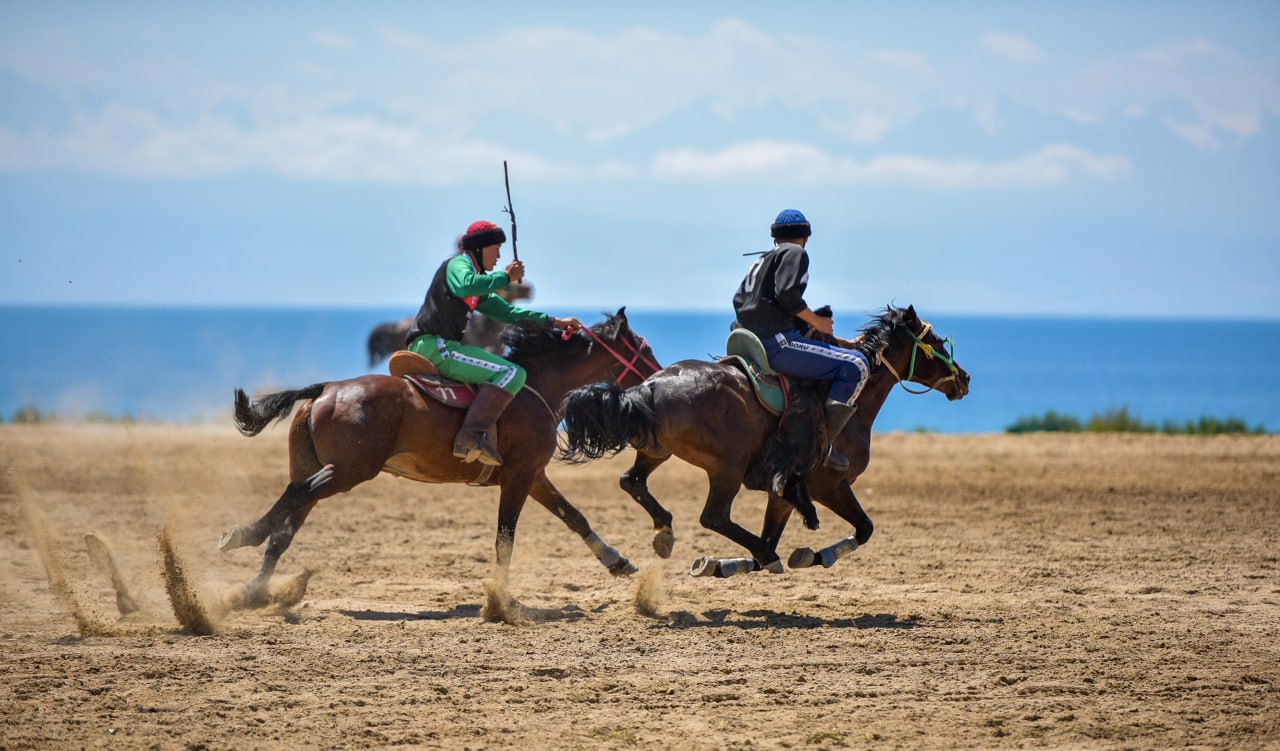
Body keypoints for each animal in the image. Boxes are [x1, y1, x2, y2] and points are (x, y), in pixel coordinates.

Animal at [221, 308, 660, 608]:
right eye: (645, 348)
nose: (659, 374)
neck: (533, 388)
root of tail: (327, 388)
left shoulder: (533, 476)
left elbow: (574, 515)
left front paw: (617, 560)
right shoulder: (518, 477)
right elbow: (505, 537)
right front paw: (500, 600)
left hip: (314, 465)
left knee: (286, 526)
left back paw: (255, 588)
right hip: (347, 471)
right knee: (296, 494)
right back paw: (241, 534)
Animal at [560, 304, 967, 575]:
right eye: (935, 342)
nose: (964, 378)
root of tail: (651, 386)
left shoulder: (783, 493)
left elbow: (774, 536)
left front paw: (728, 564)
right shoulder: (828, 486)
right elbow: (864, 529)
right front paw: (817, 555)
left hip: (655, 450)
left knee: (632, 481)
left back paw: (666, 533)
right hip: (727, 467)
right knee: (714, 516)